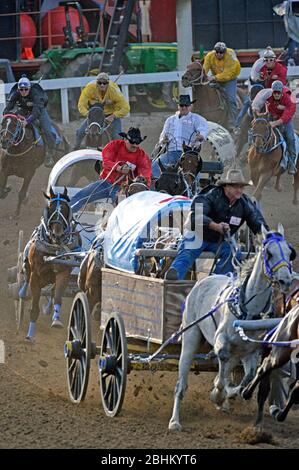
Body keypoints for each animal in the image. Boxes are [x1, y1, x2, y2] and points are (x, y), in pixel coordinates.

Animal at [21, 185, 81, 340]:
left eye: (65, 208)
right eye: (51, 207)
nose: (57, 234)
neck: (53, 249)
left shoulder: (63, 274)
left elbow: (58, 297)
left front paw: (56, 319)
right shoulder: (35, 277)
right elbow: (34, 306)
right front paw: (30, 335)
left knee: (53, 292)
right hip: (29, 269)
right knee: (25, 276)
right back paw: (22, 292)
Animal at [169, 224, 296, 430]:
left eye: (290, 252)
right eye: (269, 253)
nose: (286, 280)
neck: (249, 311)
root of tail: (203, 280)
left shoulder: (251, 352)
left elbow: (246, 380)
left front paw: (226, 397)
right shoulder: (221, 342)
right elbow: (222, 368)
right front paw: (218, 394)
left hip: (238, 353)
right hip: (190, 338)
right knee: (181, 383)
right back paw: (174, 421)